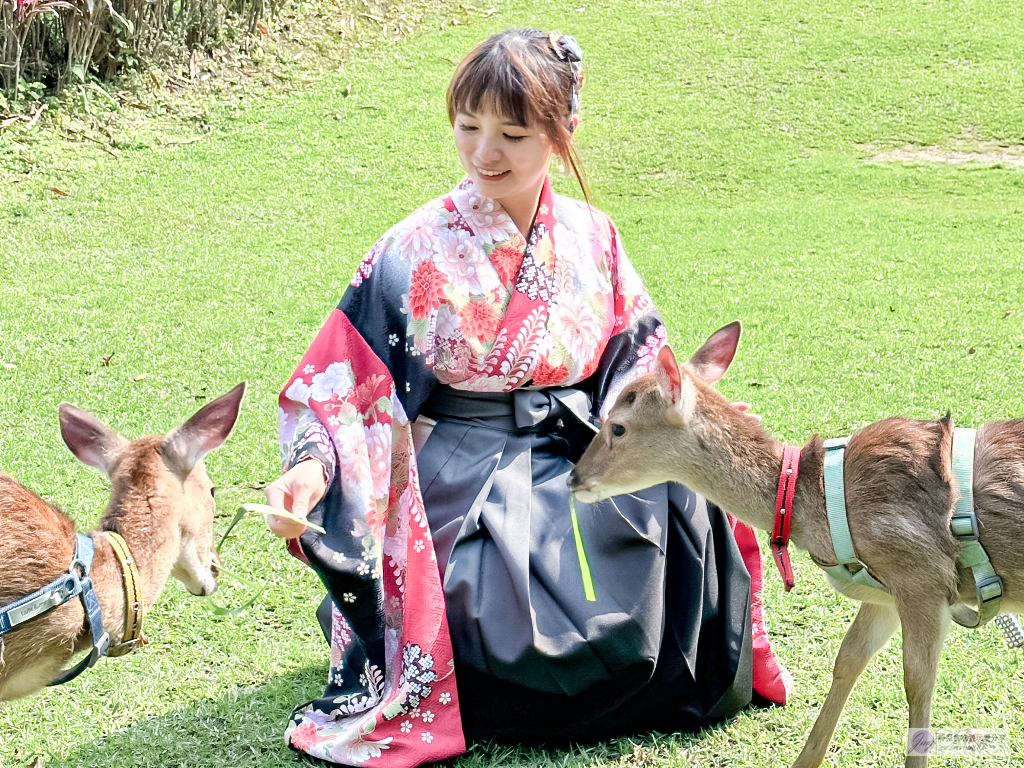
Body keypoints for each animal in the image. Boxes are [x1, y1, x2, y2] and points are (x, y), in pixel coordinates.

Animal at [569, 321, 1024, 765]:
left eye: (617, 426)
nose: (574, 478)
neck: (815, 514)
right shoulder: (886, 593)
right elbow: (848, 659)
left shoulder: (921, 576)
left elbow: (917, 685)